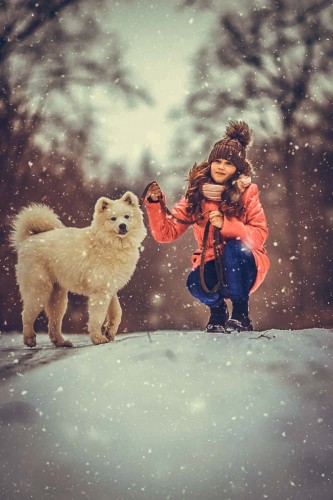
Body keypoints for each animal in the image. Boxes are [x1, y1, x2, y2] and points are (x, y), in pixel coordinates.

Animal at [10, 191, 145, 348]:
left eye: (127, 216)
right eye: (113, 218)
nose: (122, 226)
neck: (108, 243)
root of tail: (27, 240)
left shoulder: (110, 288)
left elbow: (117, 312)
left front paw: (109, 332)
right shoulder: (100, 291)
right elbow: (97, 317)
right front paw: (98, 339)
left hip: (58, 298)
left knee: (54, 322)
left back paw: (62, 342)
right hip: (39, 291)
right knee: (26, 314)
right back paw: (30, 339)